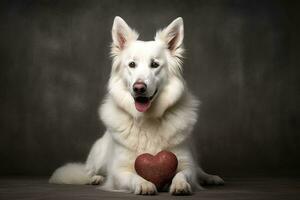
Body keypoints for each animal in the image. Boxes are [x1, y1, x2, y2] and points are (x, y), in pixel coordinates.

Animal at [48, 16, 223, 195]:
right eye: (132, 64)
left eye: (155, 64)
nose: (139, 88)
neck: (148, 119)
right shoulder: (119, 171)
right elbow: (132, 177)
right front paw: (144, 184)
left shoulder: (185, 163)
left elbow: (183, 174)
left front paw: (180, 185)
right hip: (98, 157)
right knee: (90, 171)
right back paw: (95, 178)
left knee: (199, 170)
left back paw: (210, 177)